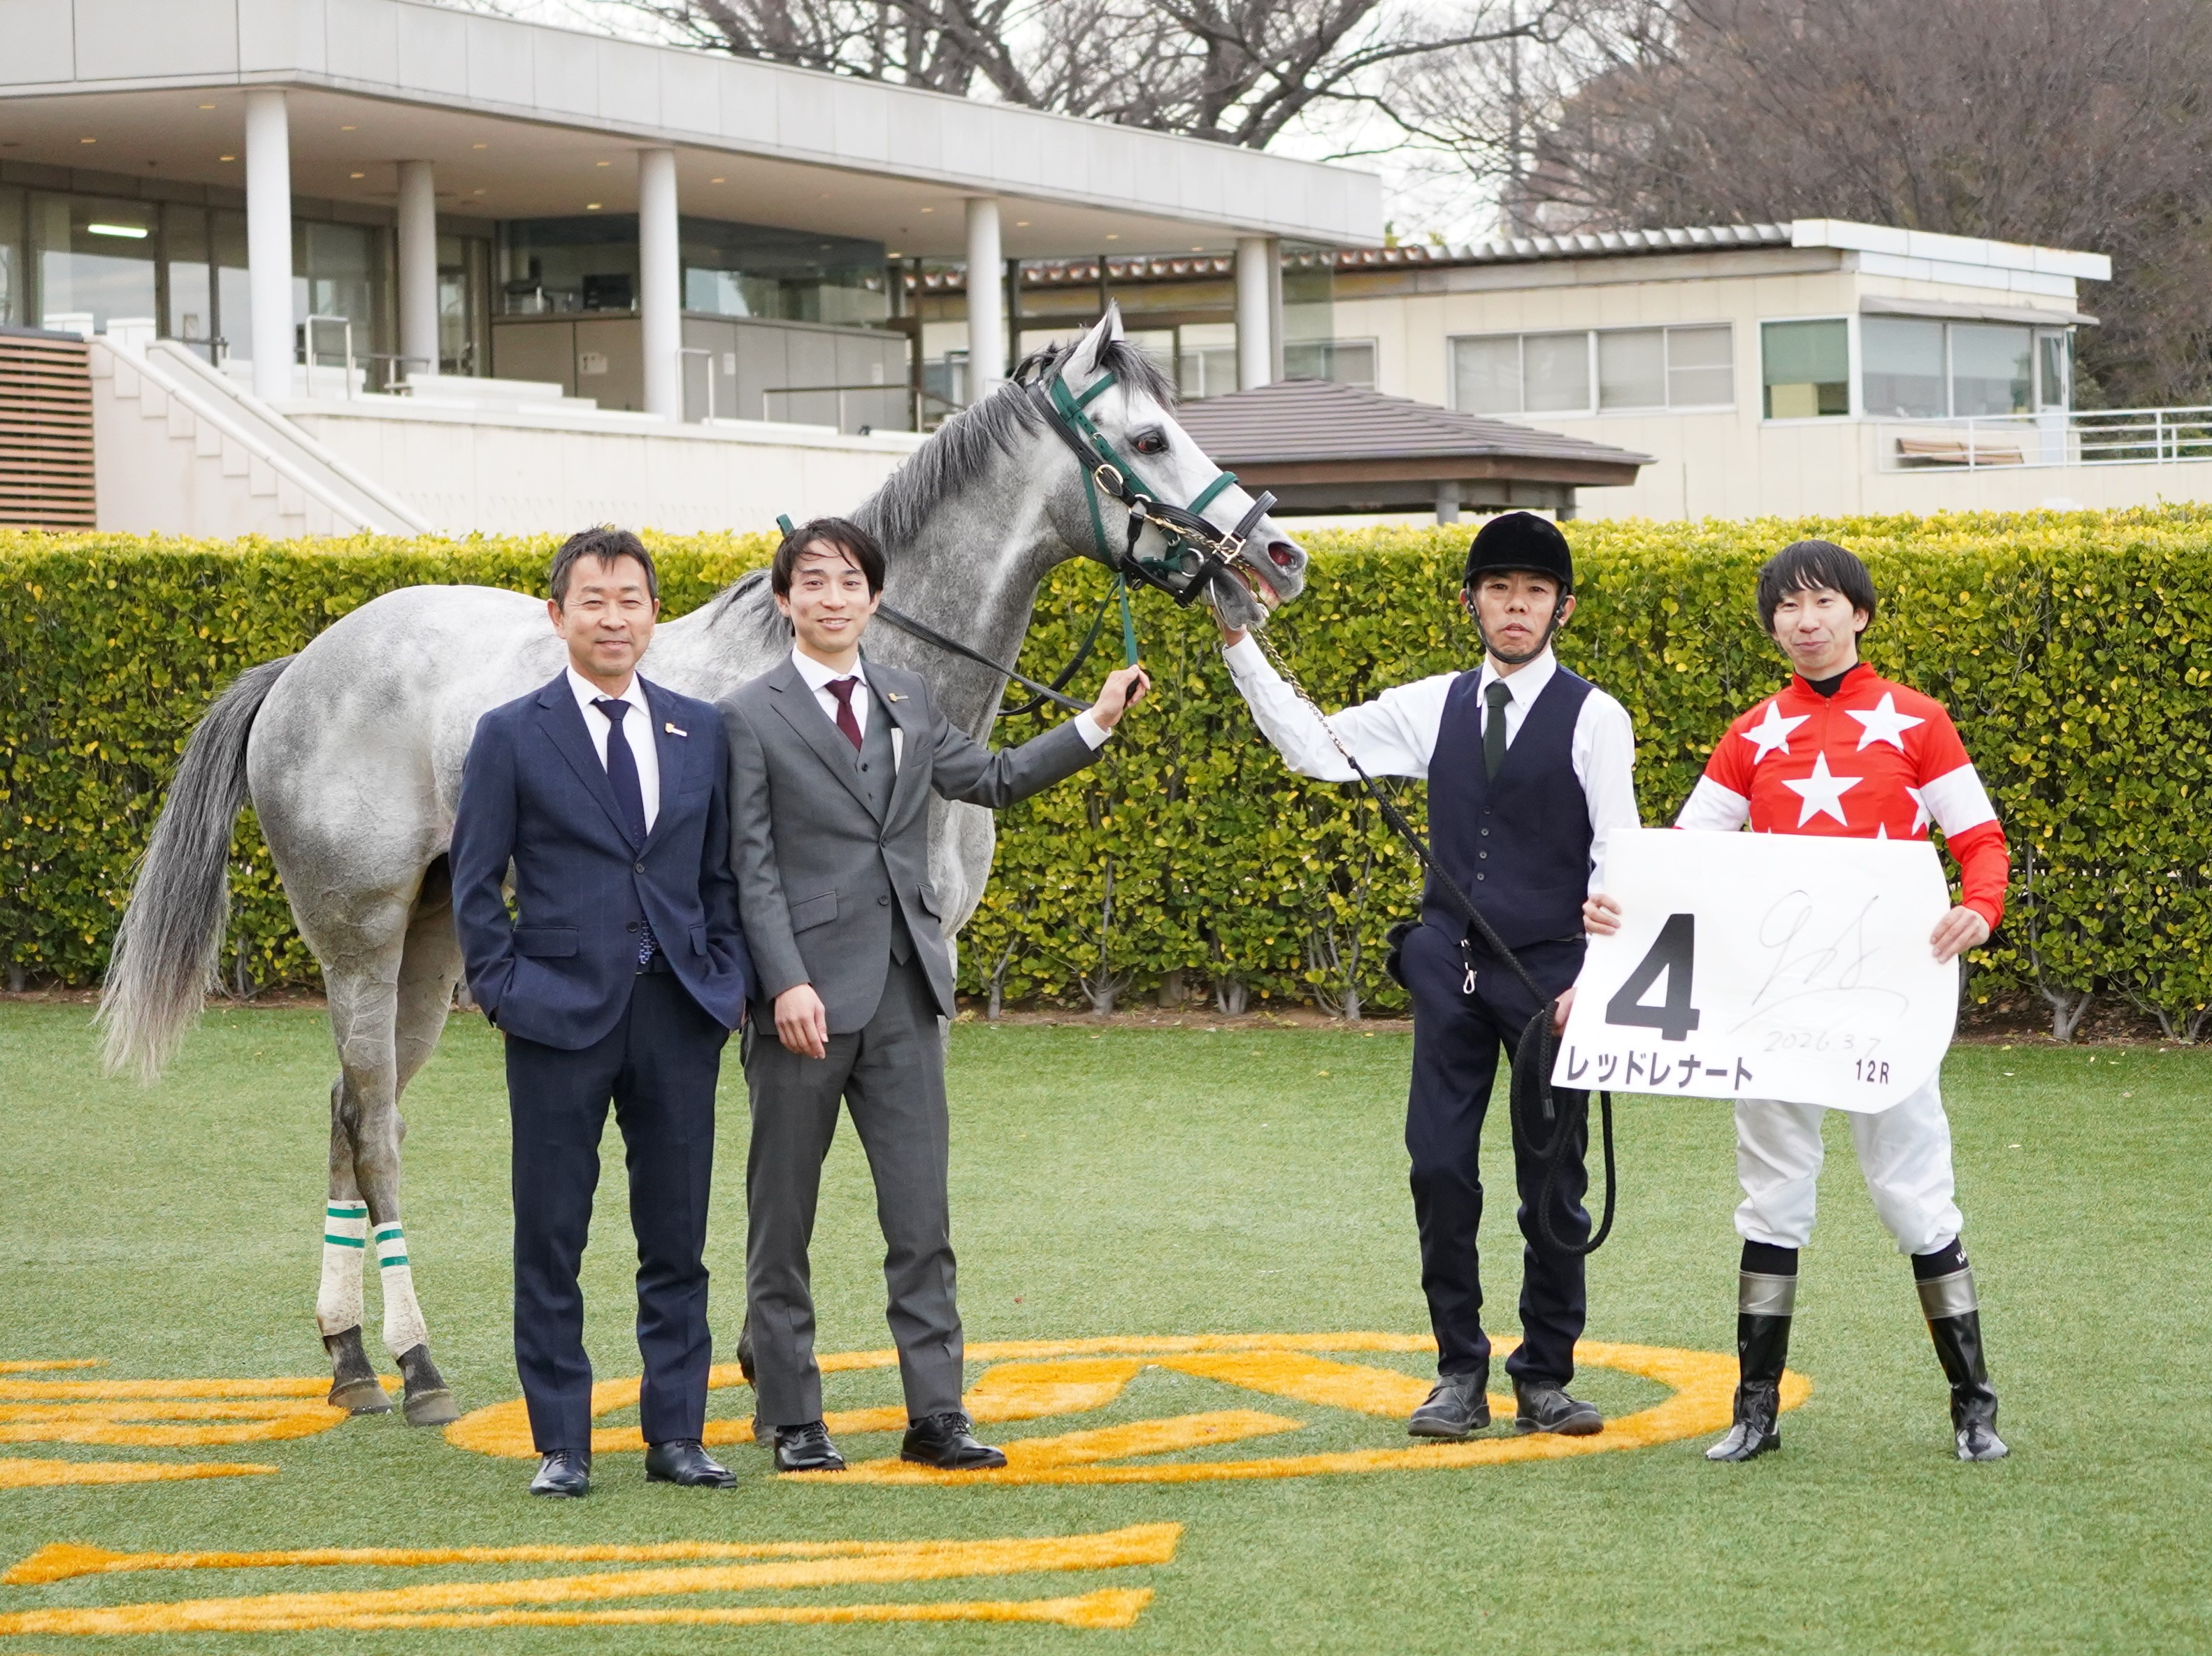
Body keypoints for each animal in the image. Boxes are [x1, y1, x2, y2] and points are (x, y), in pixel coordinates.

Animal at [96, 309, 1308, 1425]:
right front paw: (764, 1360)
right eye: (1149, 437)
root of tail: (305, 663)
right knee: (376, 1128)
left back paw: (349, 1357)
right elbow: (783, 1148)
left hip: (426, 953)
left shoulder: (920, 965)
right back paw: (416, 1363)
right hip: (359, 937)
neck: (871, 667)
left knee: (351, 1112)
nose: (1277, 554)